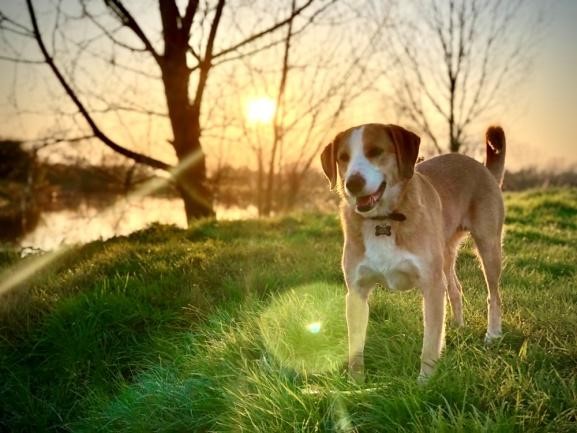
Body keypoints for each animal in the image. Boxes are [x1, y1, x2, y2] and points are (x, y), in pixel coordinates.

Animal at [320, 123, 504, 380]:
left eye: (375, 151)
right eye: (343, 157)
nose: (352, 183)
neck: (384, 220)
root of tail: (482, 167)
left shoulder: (431, 286)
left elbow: (430, 342)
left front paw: (425, 382)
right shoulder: (356, 292)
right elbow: (355, 346)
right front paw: (356, 382)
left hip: (488, 247)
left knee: (494, 295)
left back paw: (493, 334)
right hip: (445, 256)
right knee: (455, 289)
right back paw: (457, 328)